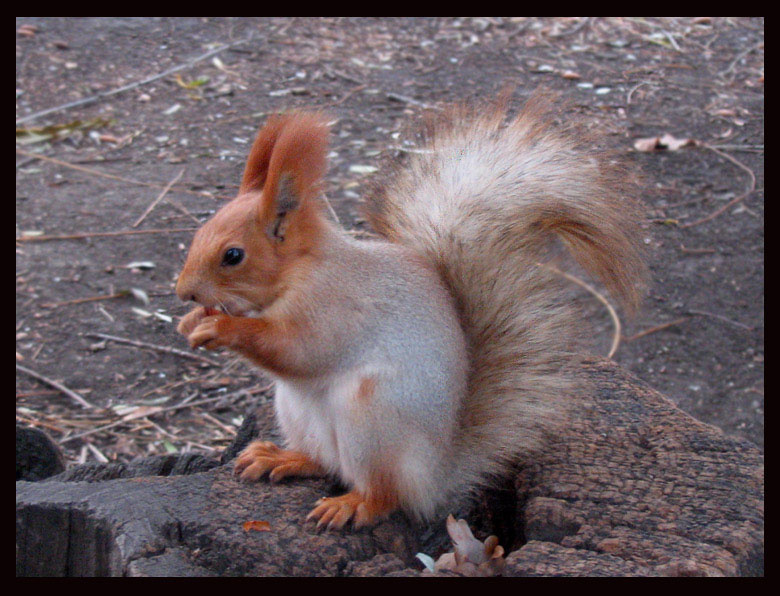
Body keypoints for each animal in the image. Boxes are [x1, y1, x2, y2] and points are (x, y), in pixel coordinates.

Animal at [175, 92, 646, 531]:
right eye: (200, 232)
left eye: (232, 255)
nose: (184, 293)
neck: (301, 267)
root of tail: (435, 475)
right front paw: (191, 322)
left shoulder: (332, 305)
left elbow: (297, 350)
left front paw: (221, 327)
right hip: (297, 411)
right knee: (325, 462)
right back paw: (282, 458)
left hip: (372, 419)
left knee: (385, 494)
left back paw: (352, 504)